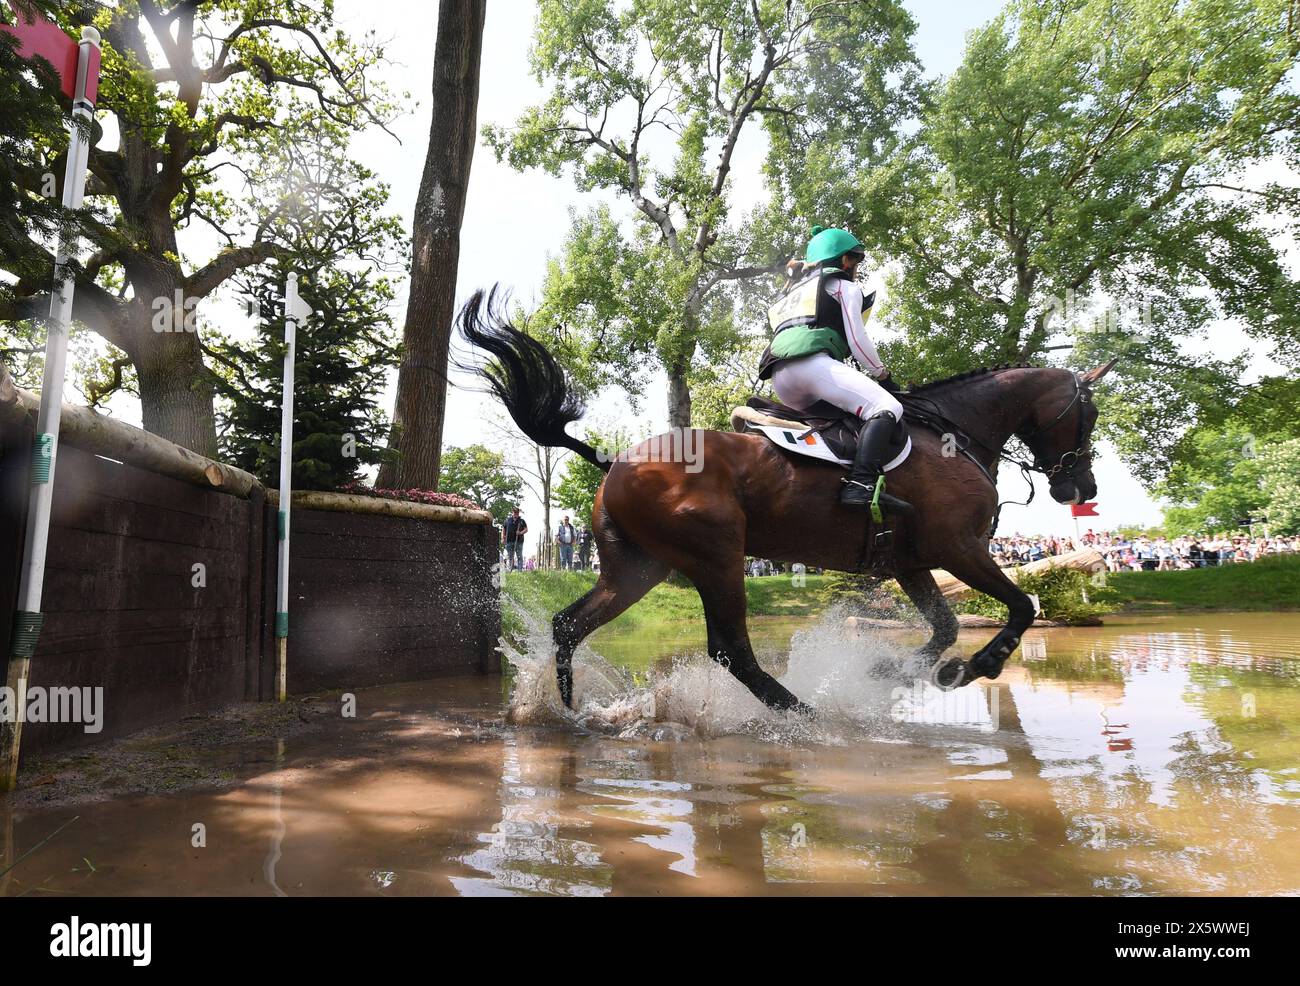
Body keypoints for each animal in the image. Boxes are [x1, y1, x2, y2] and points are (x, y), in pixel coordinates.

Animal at [462, 290, 1123, 712]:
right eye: (1088, 416)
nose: (1083, 489)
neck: (954, 433)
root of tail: (617, 461)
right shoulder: (959, 548)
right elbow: (1020, 607)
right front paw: (971, 669)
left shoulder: (909, 562)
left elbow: (943, 627)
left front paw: (897, 669)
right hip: (718, 557)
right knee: (730, 651)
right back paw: (803, 713)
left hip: (638, 567)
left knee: (570, 625)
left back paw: (566, 710)